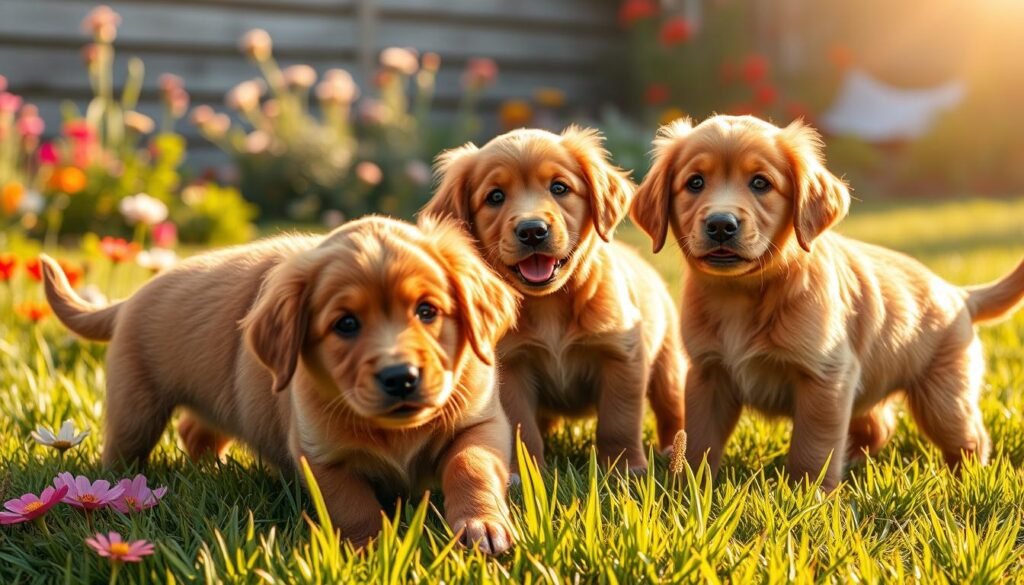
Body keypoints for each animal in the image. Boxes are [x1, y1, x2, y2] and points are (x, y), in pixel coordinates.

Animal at [39, 216, 520, 553]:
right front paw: (371, 551)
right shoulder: (318, 455)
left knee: (196, 430)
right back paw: (117, 488)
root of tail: (129, 300)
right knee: (124, 449)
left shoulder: (482, 422)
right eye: (346, 324)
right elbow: (352, 504)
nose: (400, 378)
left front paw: (481, 527)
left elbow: (471, 466)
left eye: (427, 311)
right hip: (135, 406)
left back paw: (213, 469)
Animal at [423, 127, 688, 471]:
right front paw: (523, 472)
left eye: (559, 187)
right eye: (495, 197)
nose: (532, 230)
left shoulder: (621, 355)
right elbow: (522, 428)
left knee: (671, 407)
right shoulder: (510, 366)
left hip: (668, 365)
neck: (549, 303)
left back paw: (672, 451)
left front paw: (625, 468)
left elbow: (619, 421)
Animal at [630, 114, 1024, 489]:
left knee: (968, 437)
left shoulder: (826, 376)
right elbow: (700, 440)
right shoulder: (708, 373)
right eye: (695, 183)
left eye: (761, 183)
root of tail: (957, 293)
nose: (721, 225)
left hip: (943, 398)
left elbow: (814, 445)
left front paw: (809, 494)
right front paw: (690, 490)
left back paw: (967, 479)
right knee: (878, 425)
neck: (742, 293)